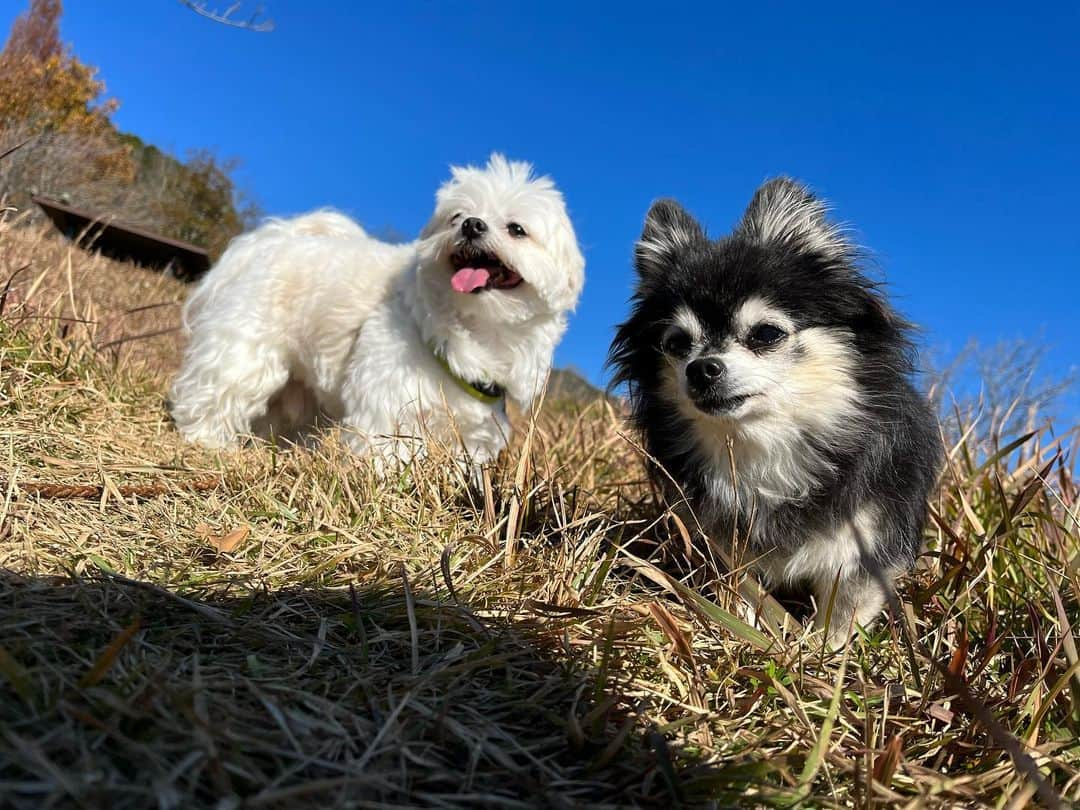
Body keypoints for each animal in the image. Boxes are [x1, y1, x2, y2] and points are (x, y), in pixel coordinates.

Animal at [169, 155, 587, 468]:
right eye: (455, 217)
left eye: (517, 229)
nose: (471, 225)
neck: (476, 326)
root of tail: (276, 239)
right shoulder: (390, 397)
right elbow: (385, 452)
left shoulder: (472, 429)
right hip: (246, 352)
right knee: (221, 389)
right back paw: (206, 440)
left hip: (298, 390)